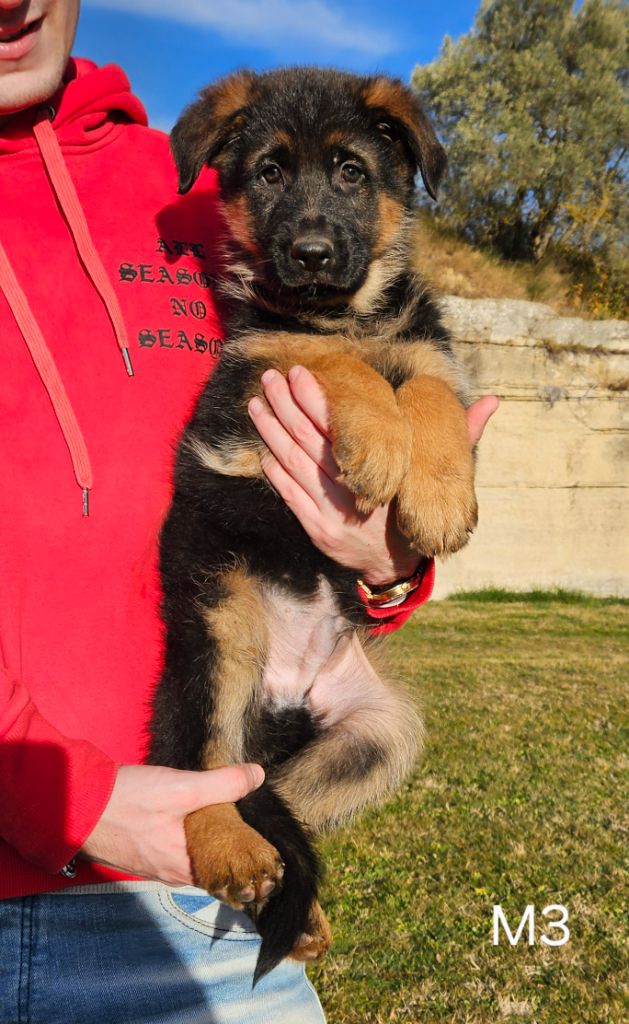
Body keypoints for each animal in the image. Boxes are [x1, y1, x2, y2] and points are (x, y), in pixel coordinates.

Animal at [149, 68, 477, 978]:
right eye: (268, 172)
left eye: (351, 172)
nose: (310, 255)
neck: (347, 312)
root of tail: (283, 703)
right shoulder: (249, 379)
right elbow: (320, 359)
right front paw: (377, 440)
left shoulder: (427, 352)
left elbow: (426, 384)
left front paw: (438, 493)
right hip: (216, 634)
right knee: (206, 768)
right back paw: (231, 853)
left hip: (378, 736)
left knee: (275, 799)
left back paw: (298, 913)